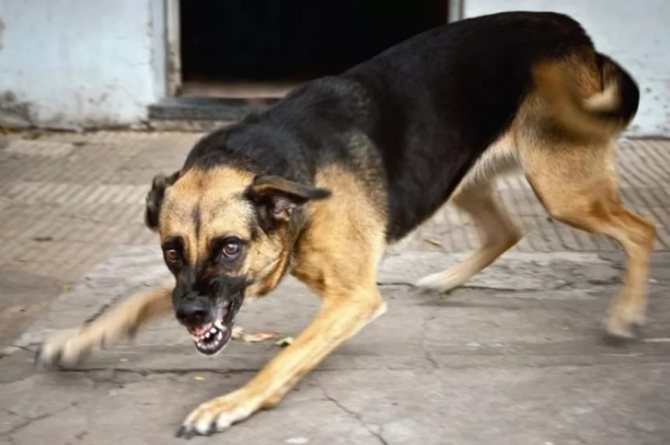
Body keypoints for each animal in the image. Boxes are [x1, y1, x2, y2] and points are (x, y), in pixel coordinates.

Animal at [38, 11, 656, 438]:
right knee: (508, 231)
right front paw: (82, 337)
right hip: (461, 176)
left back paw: (625, 313)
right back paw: (446, 280)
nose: (189, 318)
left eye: (230, 247)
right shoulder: (210, 286)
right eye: (171, 250)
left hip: (564, 191)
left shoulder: (352, 299)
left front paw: (229, 405)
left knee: (642, 231)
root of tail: (573, 30)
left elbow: (284, 357)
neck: (290, 181)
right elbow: (140, 298)